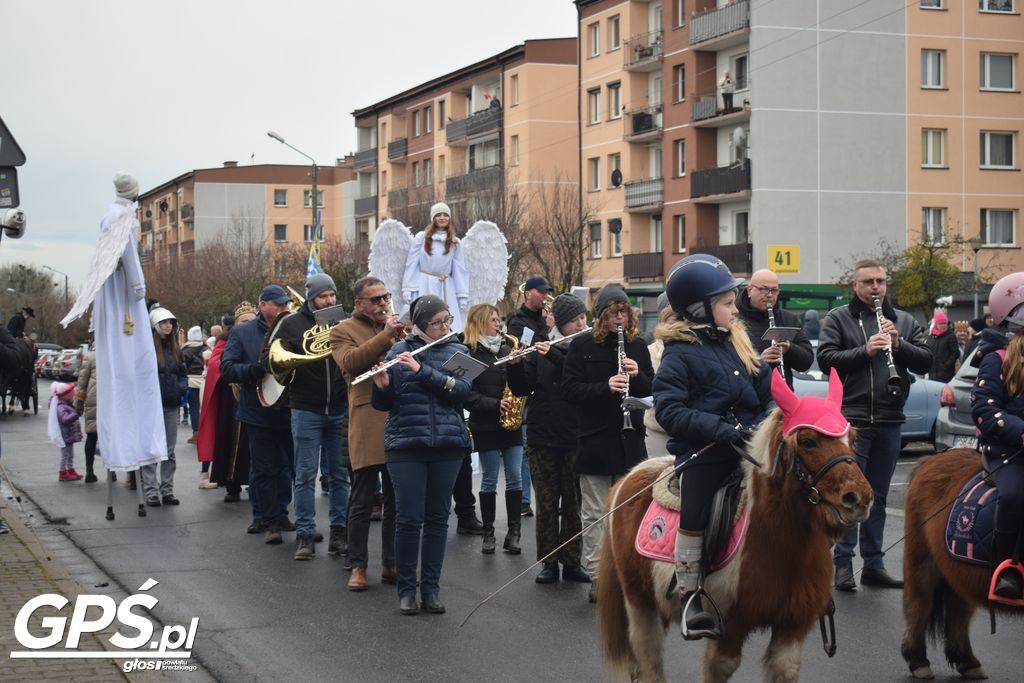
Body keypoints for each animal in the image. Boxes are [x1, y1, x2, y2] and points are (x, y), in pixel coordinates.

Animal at [593, 376, 872, 679]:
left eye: (853, 439)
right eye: (809, 441)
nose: (858, 498)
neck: (780, 542)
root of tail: (629, 476)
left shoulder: (792, 627)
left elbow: (785, 668)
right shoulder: (729, 626)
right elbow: (721, 666)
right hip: (639, 602)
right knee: (648, 660)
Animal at [901, 448, 1019, 679]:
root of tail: (931, 459)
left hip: (957, 574)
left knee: (958, 614)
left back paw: (967, 661)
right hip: (922, 564)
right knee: (919, 606)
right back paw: (918, 661)